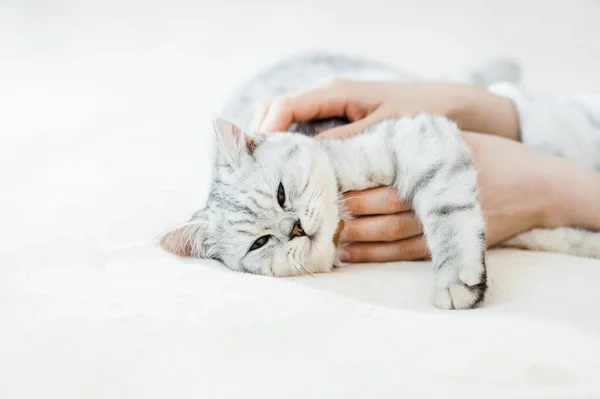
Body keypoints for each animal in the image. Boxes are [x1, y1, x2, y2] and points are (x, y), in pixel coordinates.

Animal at [161, 52, 600, 310]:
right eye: (260, 242)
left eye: (281, 194)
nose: (295, 228)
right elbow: (551, 234)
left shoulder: (418, 137)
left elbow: (448, 215)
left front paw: (456, 277)